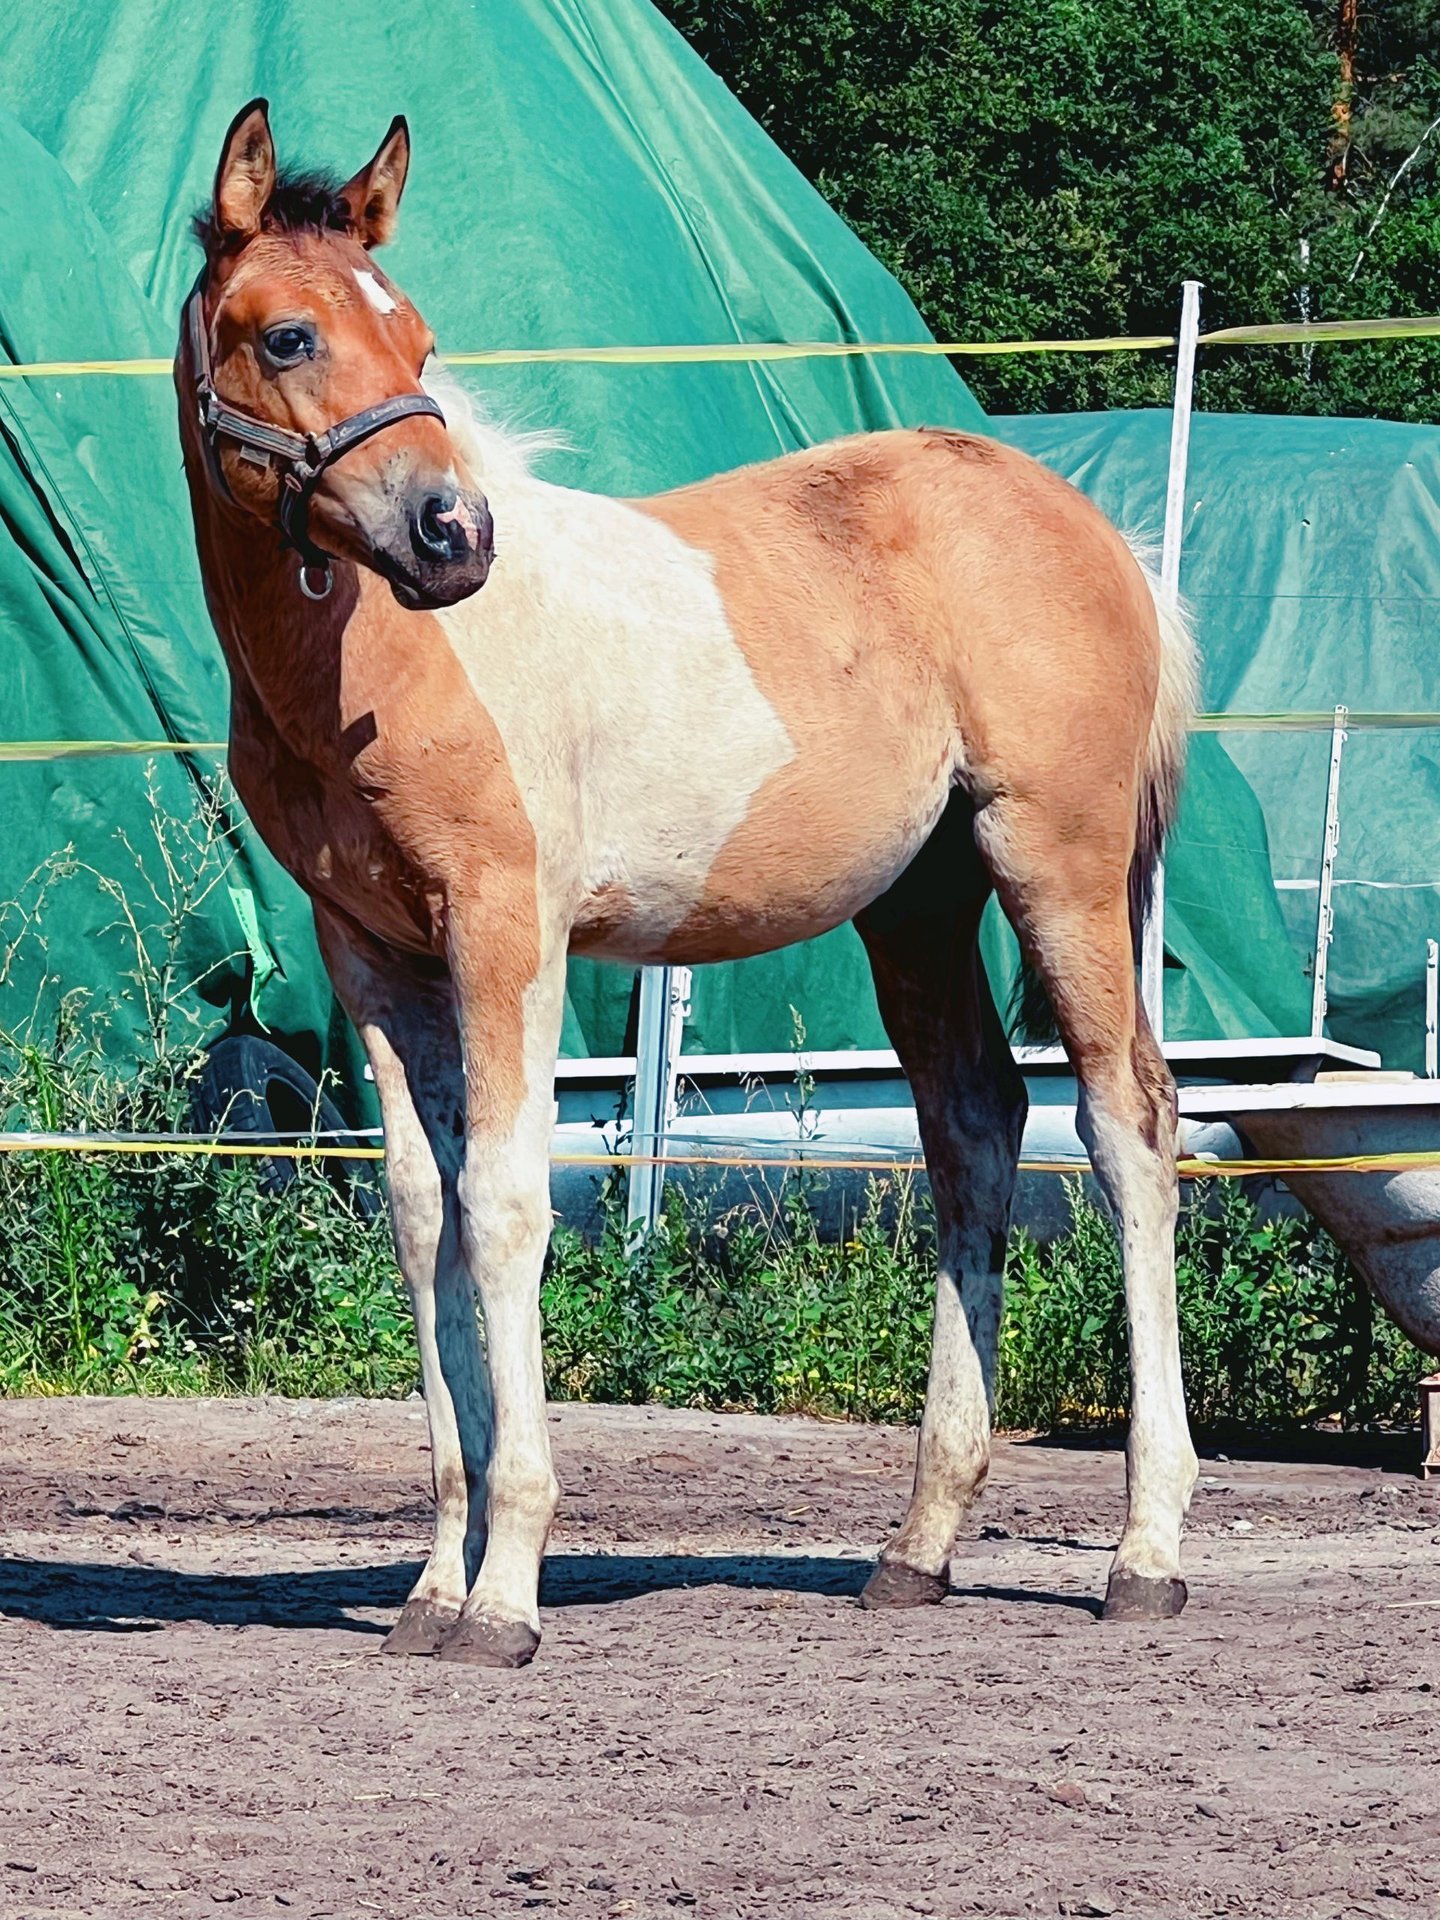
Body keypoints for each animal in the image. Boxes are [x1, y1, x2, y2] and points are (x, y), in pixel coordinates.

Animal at [180, 105, 1198, 1666]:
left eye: (417, 340)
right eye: (289, 335)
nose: (452, 536)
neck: (380, 664)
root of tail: (1105, 541)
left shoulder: (510, 929)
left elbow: (506, 1204)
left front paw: (506, 1595)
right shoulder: (370, 952)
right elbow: (421, 1213)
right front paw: (430, 1587)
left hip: (1060, 865)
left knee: (1129, 1127)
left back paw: (1146, 1552)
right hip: (917, 907)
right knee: (975, 1126)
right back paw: (917, 1549)